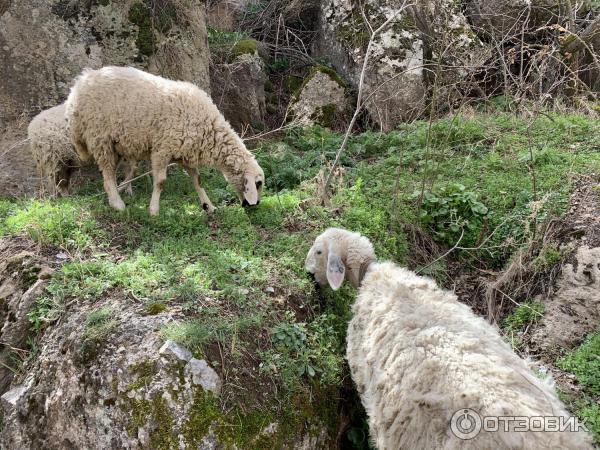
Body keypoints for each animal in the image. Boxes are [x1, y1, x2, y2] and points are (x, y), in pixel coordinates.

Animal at [64, 65, 264, 216]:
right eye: (258, 184)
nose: (254, 205)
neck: (209, 128)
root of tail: (79, 84)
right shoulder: (162, 149)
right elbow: (160, 182)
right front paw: (153, 210)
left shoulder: (185, 153)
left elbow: (198, 181)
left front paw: (208, 206)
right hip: (99, 137)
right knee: (107, 174)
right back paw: (117, 203)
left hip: (118, 143)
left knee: (120, 171)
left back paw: (120, 190)